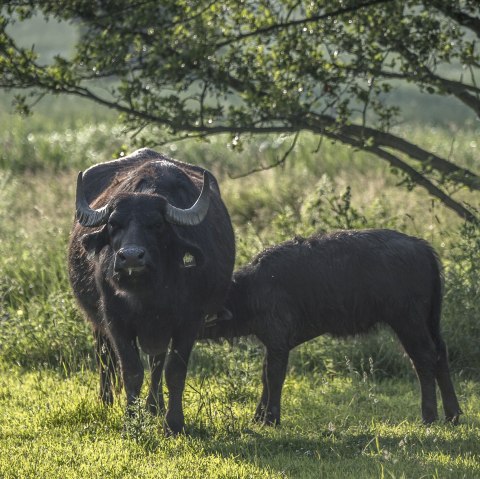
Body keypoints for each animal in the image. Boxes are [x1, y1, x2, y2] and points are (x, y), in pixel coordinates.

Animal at [69, 148, 236, 434]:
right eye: (114, 224)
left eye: (156, 224)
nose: (131, 257)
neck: (148, 294)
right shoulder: (115, 320)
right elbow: (131, 370)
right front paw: (130, 421)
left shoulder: (189, 321)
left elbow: (174, 371)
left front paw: (173, 423)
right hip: (96, 321)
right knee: (104, 357)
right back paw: (106, 401)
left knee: (157, 363)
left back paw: (154, 406)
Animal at [200, 230, 462, 428]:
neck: (250, 289)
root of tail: (422, 247)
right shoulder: (272, 343)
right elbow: (265, 376)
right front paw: (258, 417)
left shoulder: (278, 341)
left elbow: (274, 377)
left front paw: (271, 419)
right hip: (430, 321)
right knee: (440, 353)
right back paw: (453, 415)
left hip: (408, 321)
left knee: (423, 358)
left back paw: (429, 416)